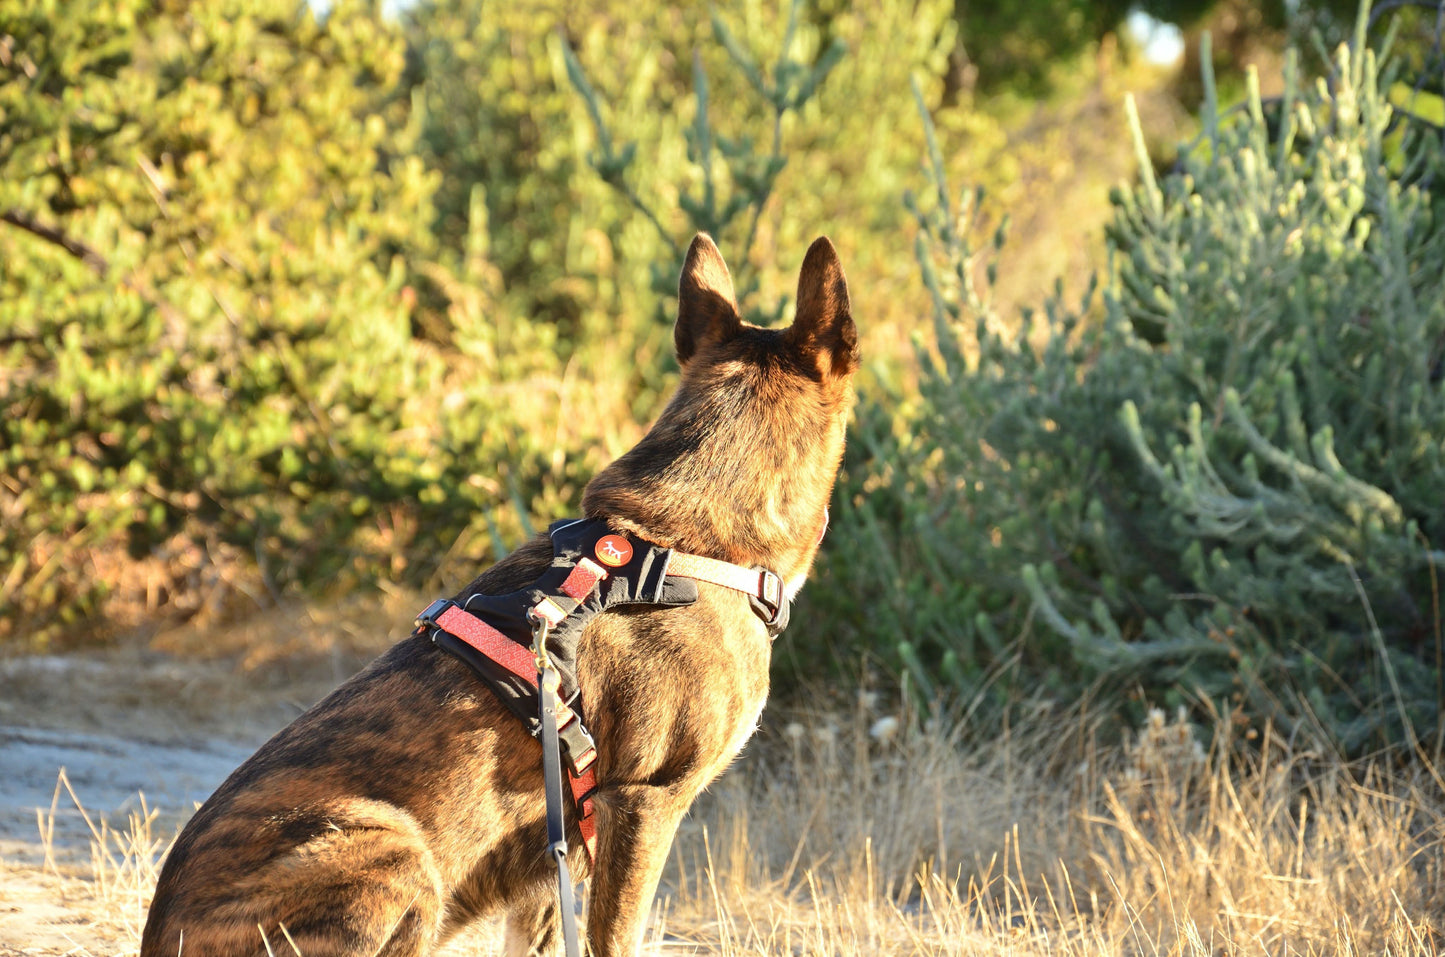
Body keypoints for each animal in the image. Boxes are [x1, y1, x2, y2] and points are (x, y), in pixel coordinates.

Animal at [143, 234, 855, 957]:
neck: (685, 544)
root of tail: (160, 936)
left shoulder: (556, 851)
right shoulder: (644, 804)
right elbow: (616, 937)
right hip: (394, 850)